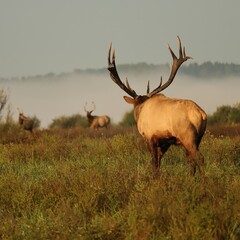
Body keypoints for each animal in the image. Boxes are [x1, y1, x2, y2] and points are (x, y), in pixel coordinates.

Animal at [108, 37, 207, 176]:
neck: (140, 109)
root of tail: (201, 114)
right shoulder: (165, 142)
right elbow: (158, 162)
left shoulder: (150, 137)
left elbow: (154, 163)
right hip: (198, 138)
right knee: (191, 159)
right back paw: (191, 179)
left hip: (187, 136)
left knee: (199, 157)